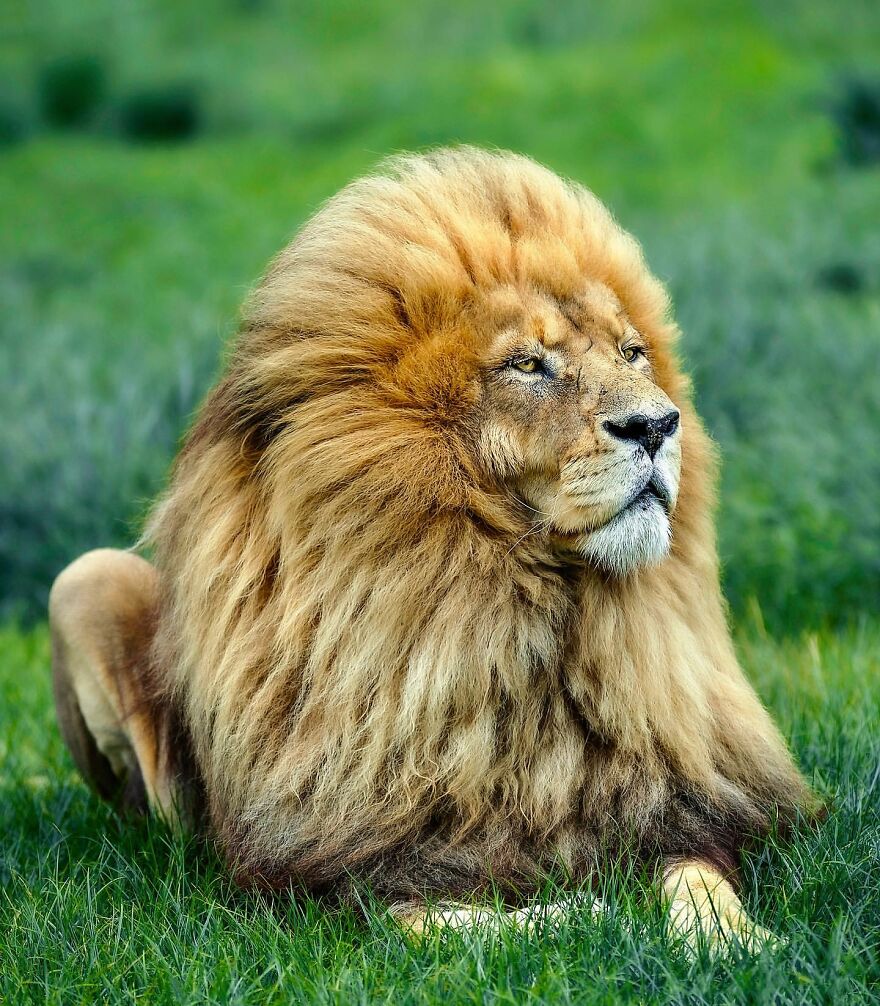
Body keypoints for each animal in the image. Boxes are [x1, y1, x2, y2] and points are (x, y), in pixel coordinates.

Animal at [49, 147, 817, 951]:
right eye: (526, 365)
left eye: (633, 353)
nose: (658, 425)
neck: (524, 621)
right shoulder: (334, 874)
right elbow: (459, 923)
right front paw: (585, 914)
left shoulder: (677, 809)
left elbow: (700, 880)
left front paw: (742, 944)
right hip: (84, 579)